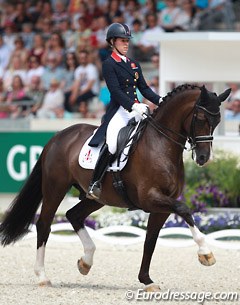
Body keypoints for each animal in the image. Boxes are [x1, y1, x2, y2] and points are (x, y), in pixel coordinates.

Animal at [0, 83, 231, 290]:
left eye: (218, 120)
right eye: (200, 118)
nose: (203, 158)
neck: (160, 144)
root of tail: (58, 136)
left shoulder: (162, 205)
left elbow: (151, 240)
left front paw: (146, 280)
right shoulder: (150, 198)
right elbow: (184, 210)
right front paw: (206, 253)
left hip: (96, 198)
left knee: (73, 215)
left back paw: (86, 261)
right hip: (54, 188)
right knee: (44, 225)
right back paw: (42, 276)